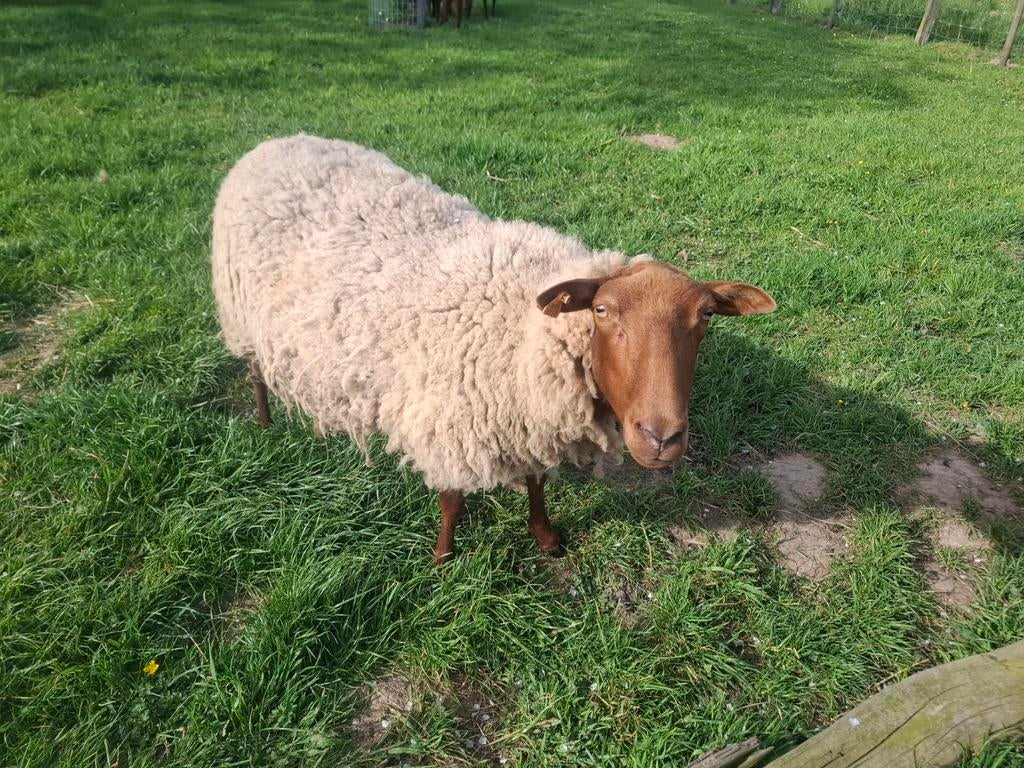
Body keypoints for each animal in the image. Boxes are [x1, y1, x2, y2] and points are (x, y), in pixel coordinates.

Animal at [211, 135, 776, 563]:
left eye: (706, 317)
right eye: (601, 311)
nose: (662, 438)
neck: (524, 328)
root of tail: (276, 142)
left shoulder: (525, 415)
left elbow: (536, 480)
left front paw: (546, 537)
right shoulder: (450, 420)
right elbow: (452, 502)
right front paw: (442, 558)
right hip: (242, 315)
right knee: (255, 370)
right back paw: (265, 421)